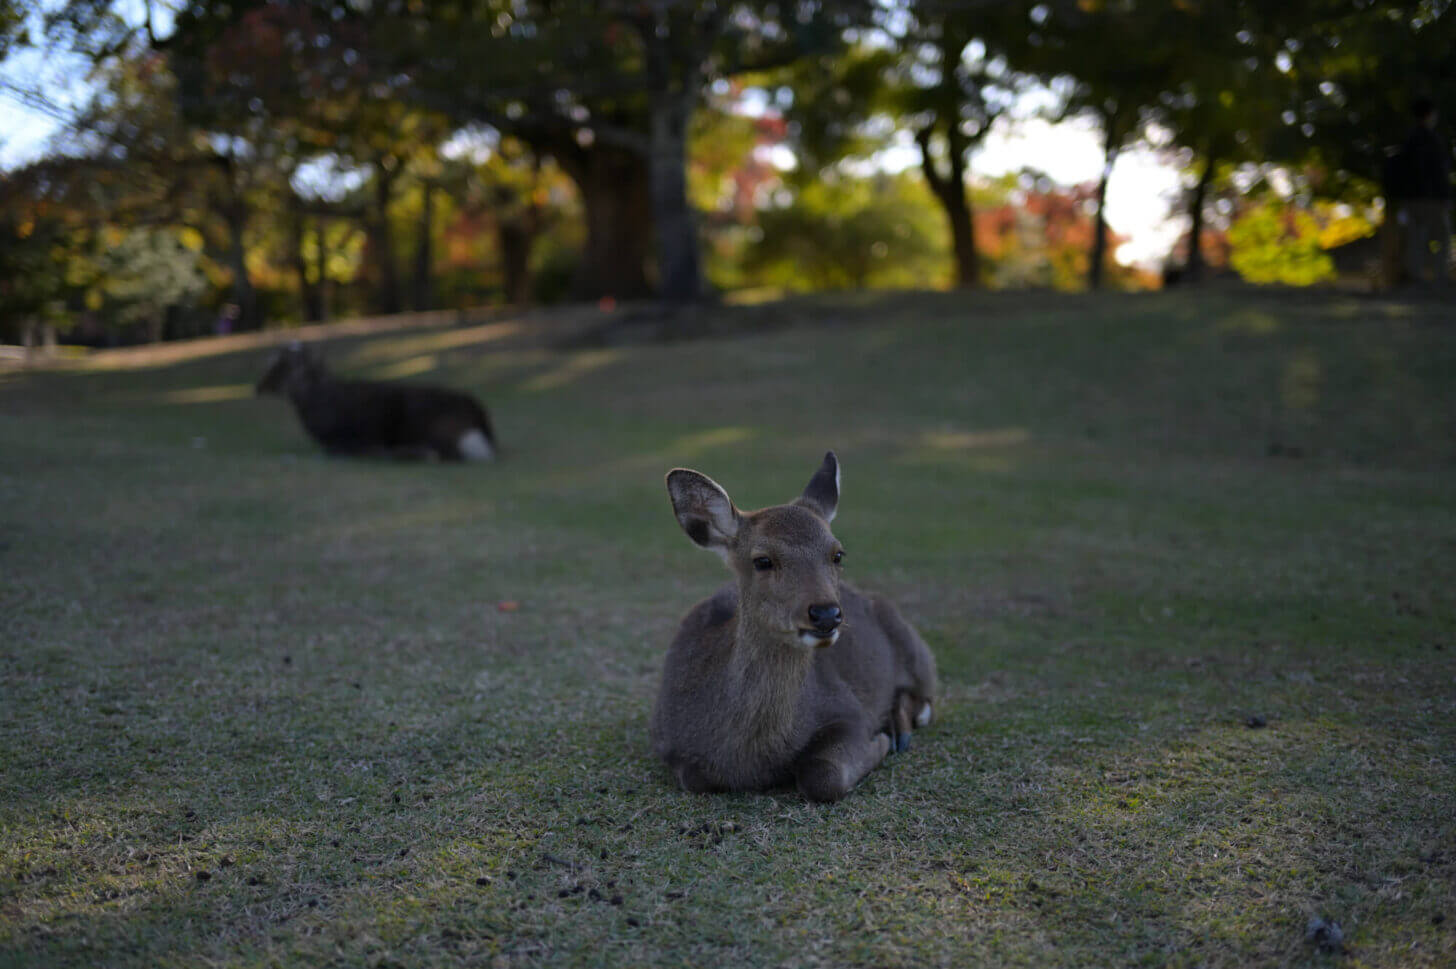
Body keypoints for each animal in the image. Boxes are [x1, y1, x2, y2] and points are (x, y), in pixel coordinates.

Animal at [655, 453, 937, 797]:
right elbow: (695, 779)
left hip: (916, 650)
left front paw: (880, 742)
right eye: (762, 560)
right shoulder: (666, 739)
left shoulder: (847, 708)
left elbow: (822, 775)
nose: (827, 614)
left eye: (838, 554)